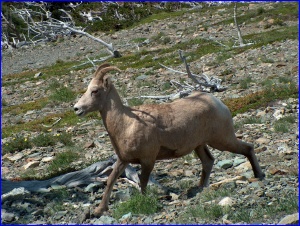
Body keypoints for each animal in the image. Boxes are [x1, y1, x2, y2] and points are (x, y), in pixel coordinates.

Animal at [74, 62, 264, 216]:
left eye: (95, 91)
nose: (77, 109)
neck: (126, 124)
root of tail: (218, 103)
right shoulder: (123, 160)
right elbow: (110, 180)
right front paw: (99, 210)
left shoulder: (148, 160)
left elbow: (143, 182)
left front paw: (143, 201)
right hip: (200, 145)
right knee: (208, 161)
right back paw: (199, 188)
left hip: (222, 140)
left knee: (247, 147)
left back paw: (259, 175)